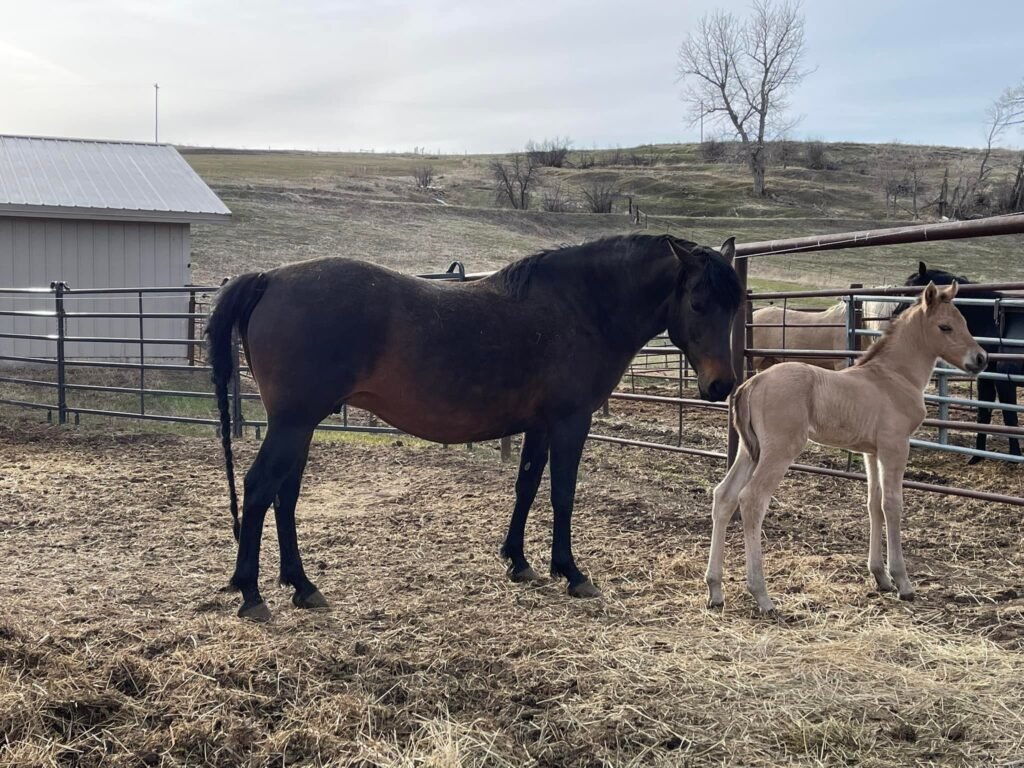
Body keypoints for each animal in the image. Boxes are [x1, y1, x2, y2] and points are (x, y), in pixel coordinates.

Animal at [206, 234, 743, 621]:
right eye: (698, 303)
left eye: (734, 305)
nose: (721, 385)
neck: (583, 307)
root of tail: (269, 278)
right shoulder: (570, 422)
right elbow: (562, 494)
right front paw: (570, 571)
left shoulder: (540, 425)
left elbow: (526, 486)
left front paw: (519, 561)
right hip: (292, 423)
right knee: (259, 488)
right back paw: (251, 594)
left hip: (299, 426)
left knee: (285, 496)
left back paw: (302, 586)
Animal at [706, 282, 985, 613]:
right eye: (945, 326)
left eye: (964, 322)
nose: (981, 359)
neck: (893, 377)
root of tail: (752, 384)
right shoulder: (895, 447)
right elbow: (893, 505)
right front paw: (902, 582)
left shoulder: (871, 451)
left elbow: (874, 504)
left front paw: (880, 577)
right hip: (779, 451)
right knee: (751, 500)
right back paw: (762, 594)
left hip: (751, 451)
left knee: (724, 496)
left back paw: (715, 590)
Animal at [905, 262, 1024, 462]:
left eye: (912, 292)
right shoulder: (986, 378)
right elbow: (984, 413)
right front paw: (977, 456)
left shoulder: (1003, 380)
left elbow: (1010, 418)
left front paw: (1014, 457)